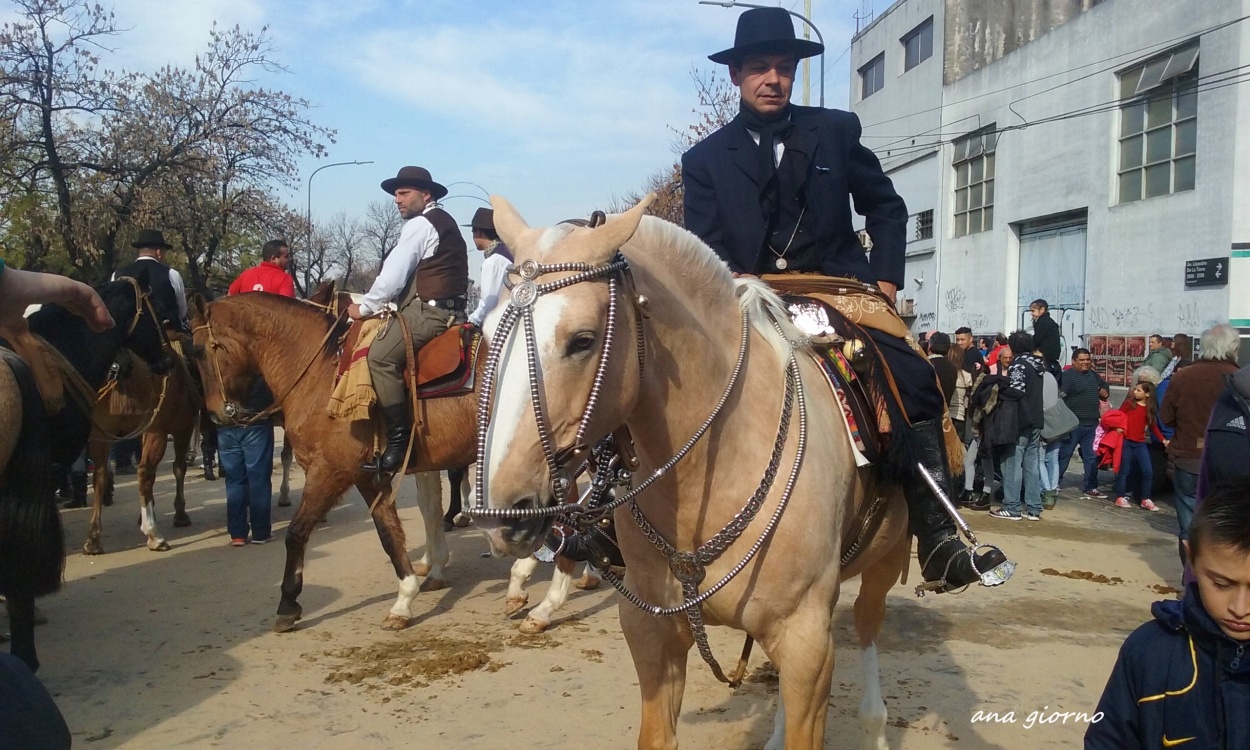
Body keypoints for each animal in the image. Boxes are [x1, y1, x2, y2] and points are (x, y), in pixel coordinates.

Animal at [472, 198, 915, 750]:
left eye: (582, 340)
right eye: (487, 333)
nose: (501, 515)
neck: (717, 468)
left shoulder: (808, 645)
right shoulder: (651, 635)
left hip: (885, 561)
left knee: (869, 624)